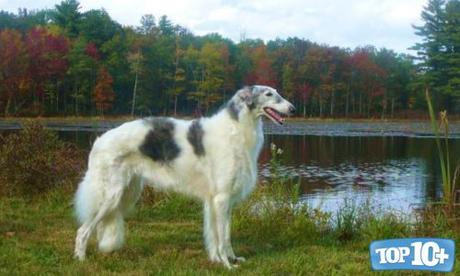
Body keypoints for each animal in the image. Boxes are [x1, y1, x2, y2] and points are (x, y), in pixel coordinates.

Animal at [72, 85, 294, 268]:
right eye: (269, 94)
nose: (293, 109)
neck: (237, 128)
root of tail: (99, 140)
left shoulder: (223, 200)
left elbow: (224, 235)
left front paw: (228, 259)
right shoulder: (221, 198)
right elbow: (222, 238)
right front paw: (226, 264)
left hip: (127, 192)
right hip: (111, 195)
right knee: (82, 231)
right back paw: (81, 259)